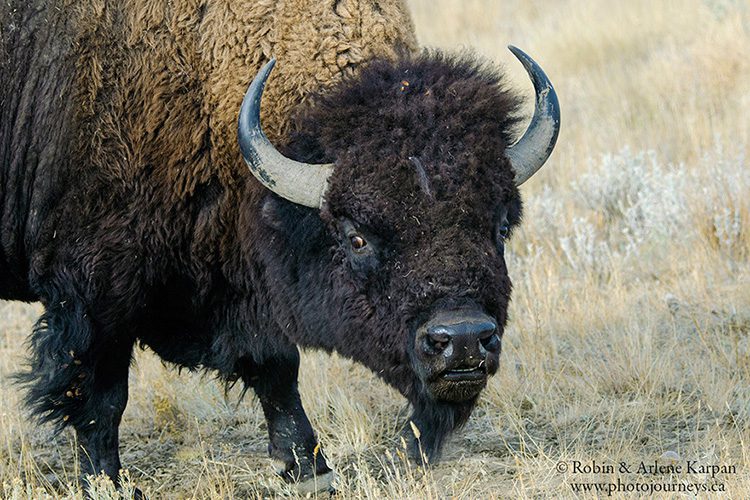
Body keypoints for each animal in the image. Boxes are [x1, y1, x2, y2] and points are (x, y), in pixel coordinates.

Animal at [0, 0, 560, 494]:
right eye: (356, 237)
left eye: (500, 226)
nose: (463, 340)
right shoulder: (94, 292)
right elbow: (100, 396)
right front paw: (108, 483)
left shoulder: (245, 290)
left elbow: (276, 368)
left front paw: (310, 469)